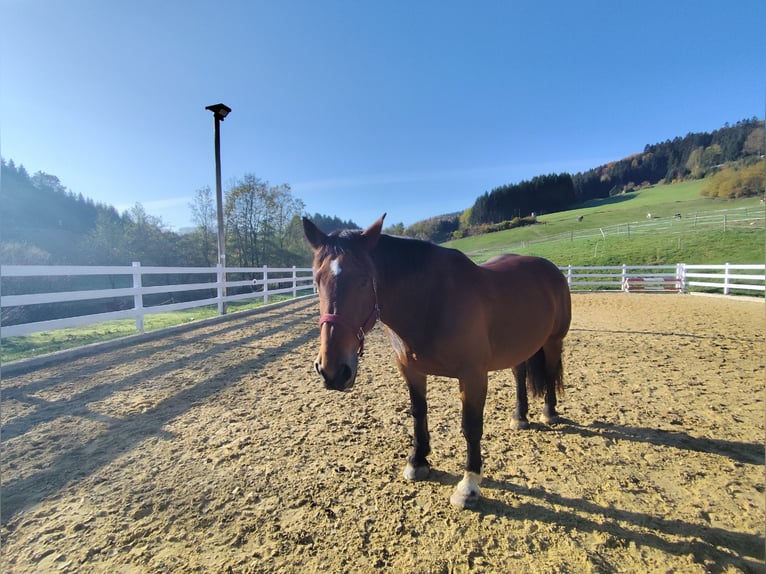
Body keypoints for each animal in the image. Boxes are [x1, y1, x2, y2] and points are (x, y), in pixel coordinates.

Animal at [304, 215, 572, 508]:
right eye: (316, 281)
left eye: (364, 280)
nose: (332, 371)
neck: (431, 300)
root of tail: (550, 269)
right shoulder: (410, 370)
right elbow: (418, 412)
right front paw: (418, 461)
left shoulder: (473, 376)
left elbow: (471, 426)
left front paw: (469, 484)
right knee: (519, 374)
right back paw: (520, 417)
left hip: (553, 342)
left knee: (550, 374)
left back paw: (549, 412)